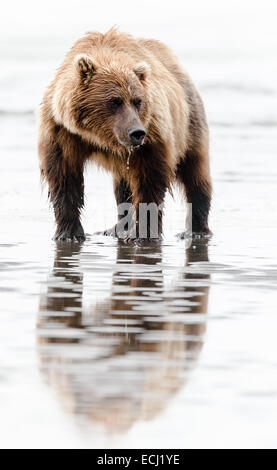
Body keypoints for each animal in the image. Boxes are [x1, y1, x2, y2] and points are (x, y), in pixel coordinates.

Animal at [37, 28, 211, 242]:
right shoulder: (62, 131)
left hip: (189, 124)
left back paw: (195, 230)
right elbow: (64, 176)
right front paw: (68, 233)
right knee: (122, 185)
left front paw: (143, 233)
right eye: (114, 101)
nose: (137, 133)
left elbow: (150, 180)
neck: (98, 136)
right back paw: (116, 228)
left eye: (138, 101)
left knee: (195, 173)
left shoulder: (152, 136)